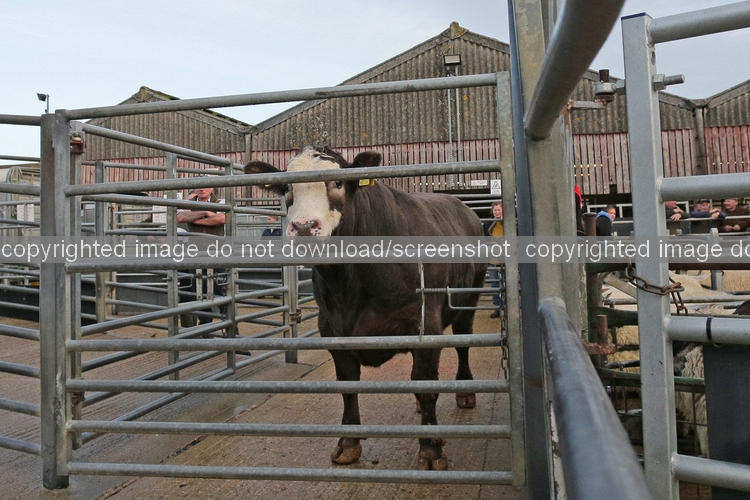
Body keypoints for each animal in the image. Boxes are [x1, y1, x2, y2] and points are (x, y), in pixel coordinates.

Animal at [244, 146, 487, 470]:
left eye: (337, 183)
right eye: (287, 189)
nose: (304, 227)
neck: (351, 284)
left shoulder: (425, 327)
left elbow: (426, 388)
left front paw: (431, 450)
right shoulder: (333, 330)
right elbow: (348, 386)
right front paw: (348, 444)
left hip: (469, 297)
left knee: (463, 342)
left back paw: (465, 391)